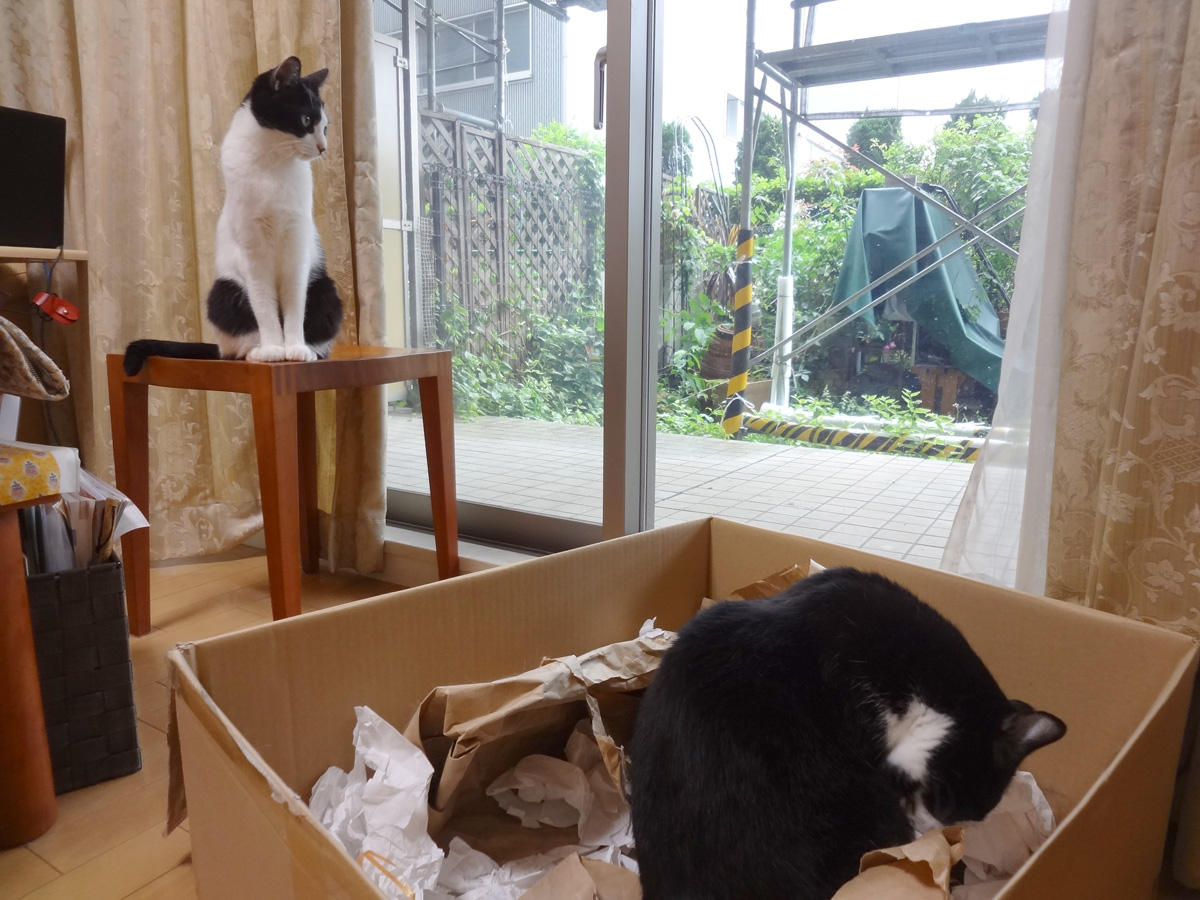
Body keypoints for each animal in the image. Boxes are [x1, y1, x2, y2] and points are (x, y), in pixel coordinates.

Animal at [123, 56, 343, 376]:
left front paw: (295, 348)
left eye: (325, 127)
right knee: (238, 343)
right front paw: (274, 348)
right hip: (224, 290)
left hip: (326, 291)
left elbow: (294, 304)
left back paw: (310, 350)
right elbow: (264, 307)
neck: (272, 164)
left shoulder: (297, 245)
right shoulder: (252, 251)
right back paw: (257, 351)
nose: (323, 149)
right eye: (306, 120)